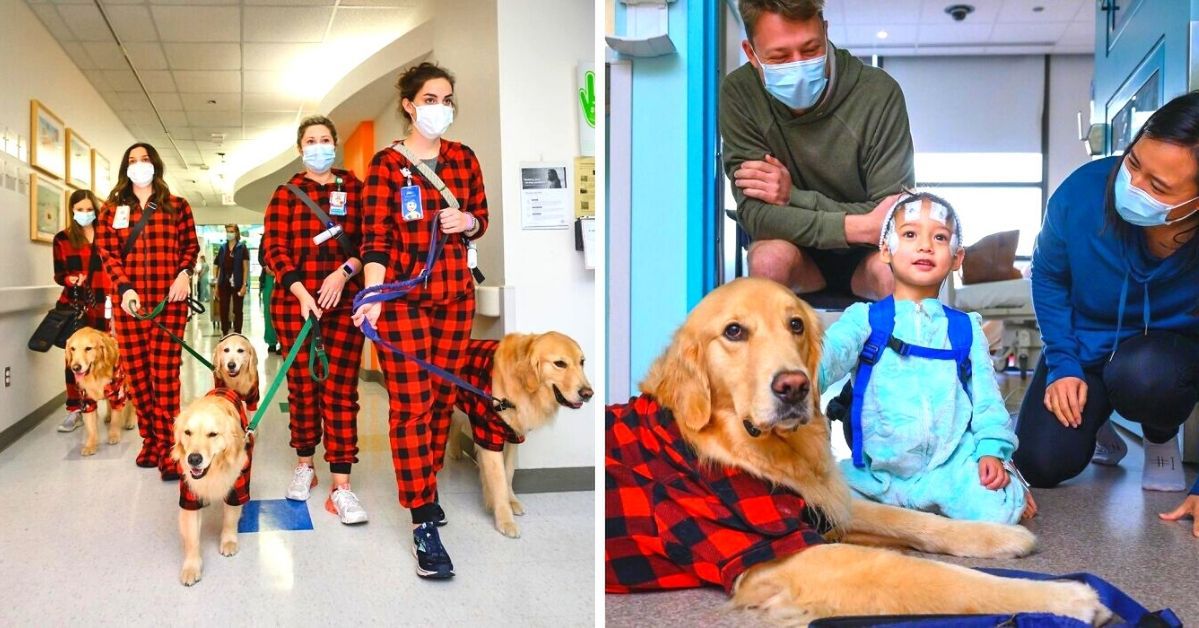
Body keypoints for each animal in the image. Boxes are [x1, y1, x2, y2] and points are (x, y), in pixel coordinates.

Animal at [63, 325, 134, 453]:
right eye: (73, 349)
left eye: (88, 348)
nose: (76, 368)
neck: (96, 374)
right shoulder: (87, 401)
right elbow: (91, 427)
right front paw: (90, 445)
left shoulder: (118, 394)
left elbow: (116, 419)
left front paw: (114, 436)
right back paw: (108, 416)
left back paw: (130, 421)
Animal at [171, 388, 252, 589]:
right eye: (188, 432)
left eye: (213, 434)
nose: (194, 459)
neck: (214, 470)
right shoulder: (189, 494)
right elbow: (192, 537)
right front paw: (191, 567)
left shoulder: (237, 485)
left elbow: (230, 518)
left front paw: (229, 541)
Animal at [450, 330, 594, 536]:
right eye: (560, 364)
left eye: (582, 362)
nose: (588, 394)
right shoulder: (489, 433)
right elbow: (499, 480)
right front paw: (504, 519)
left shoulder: (514, 434)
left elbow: (508, 472)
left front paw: (511, 502)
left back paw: (455, 451)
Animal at [604, 278, 1107, 623]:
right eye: (733, 332)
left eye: (795, 325)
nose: (794, 387)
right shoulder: (784, 553)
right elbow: (931, 576)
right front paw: (1063, 598)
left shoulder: (824, 508)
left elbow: (914, 521)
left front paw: (999, 536)